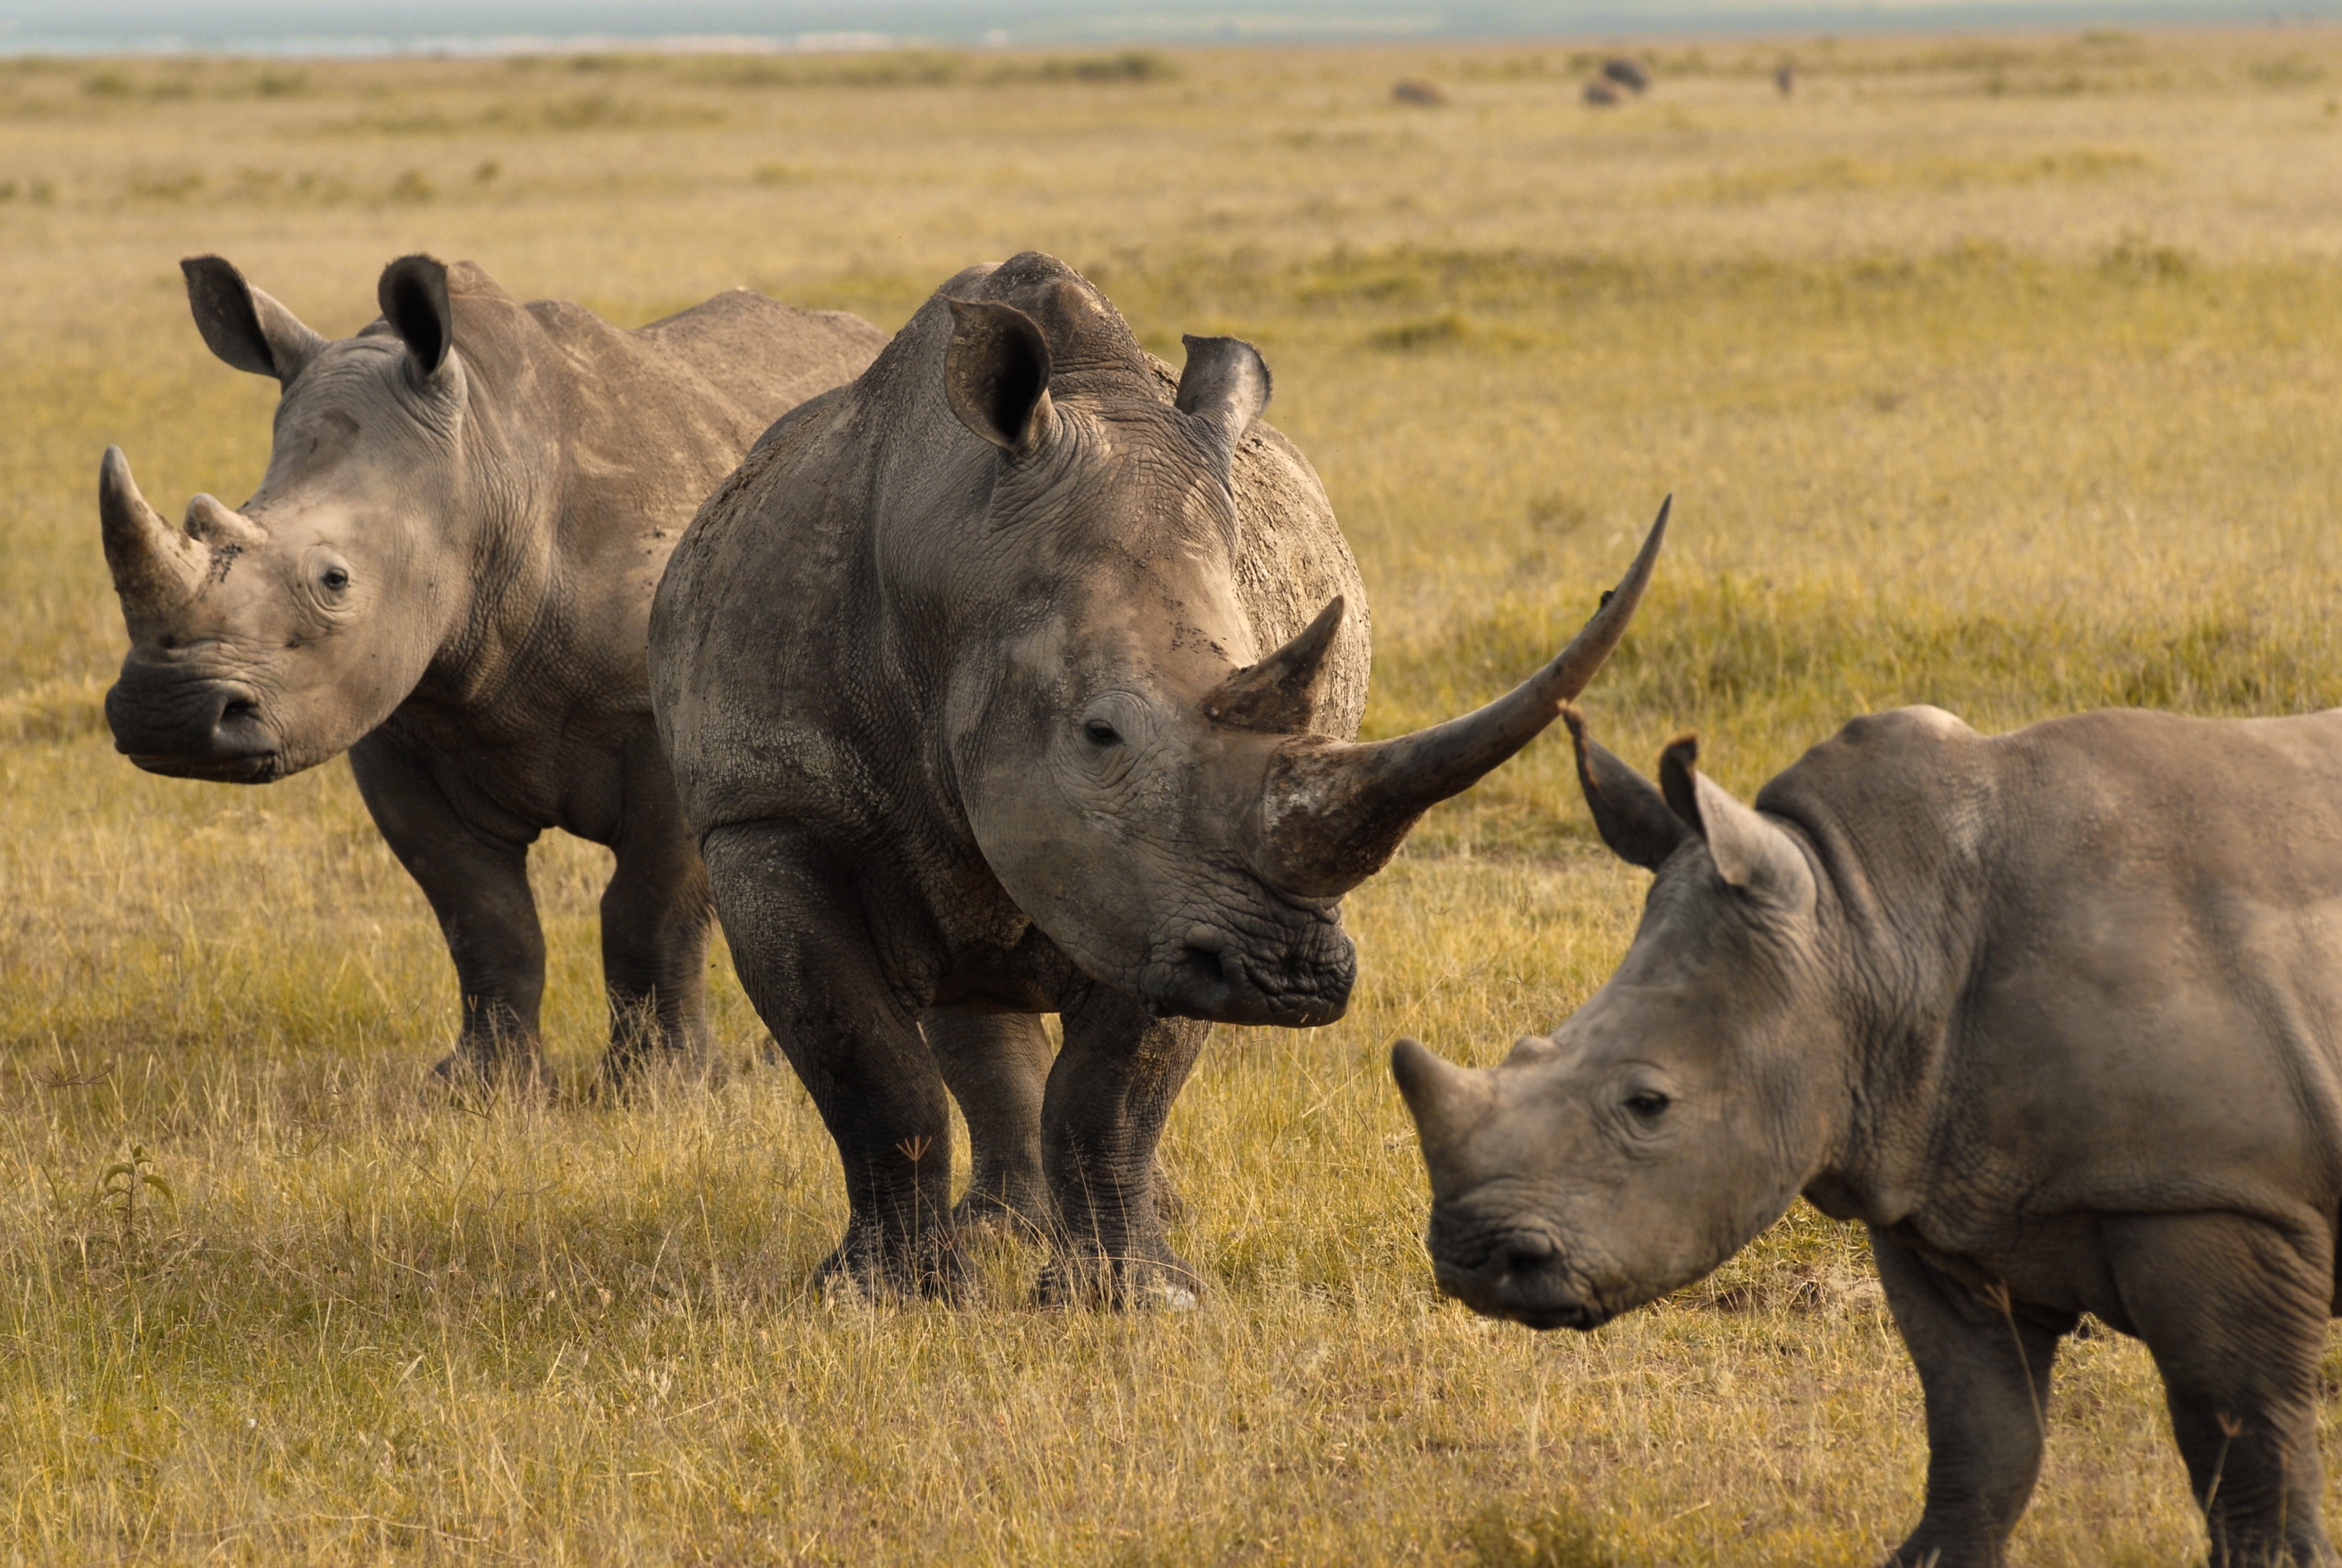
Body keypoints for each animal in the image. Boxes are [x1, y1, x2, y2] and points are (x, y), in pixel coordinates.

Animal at [98, 257, 885, 1095]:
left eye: (335, 580)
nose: (166, 716)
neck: (484, 468)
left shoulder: (674, 719)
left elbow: (651, 906)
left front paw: (657, 1087)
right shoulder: (396, 723)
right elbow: (482, 912)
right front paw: (481, 1088)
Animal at [650, 249, 1658, 1301]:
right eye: (1100, 733)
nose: (1290, 976)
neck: (951, 561)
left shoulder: (1156, 882)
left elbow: (1115, 1088)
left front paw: (1129, 1298)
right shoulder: (767, 810)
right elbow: (867, 1068)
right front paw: (886, 1298)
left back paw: (1104, 1226)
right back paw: (999, 1231)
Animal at [1386, 711, 2342, 1568]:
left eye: (1649, 1104)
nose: (1471, 1260)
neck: (1870, 924)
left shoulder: (2216, 1195)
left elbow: (2246, 1436)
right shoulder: (1945, 1191)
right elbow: (1979, 1430)